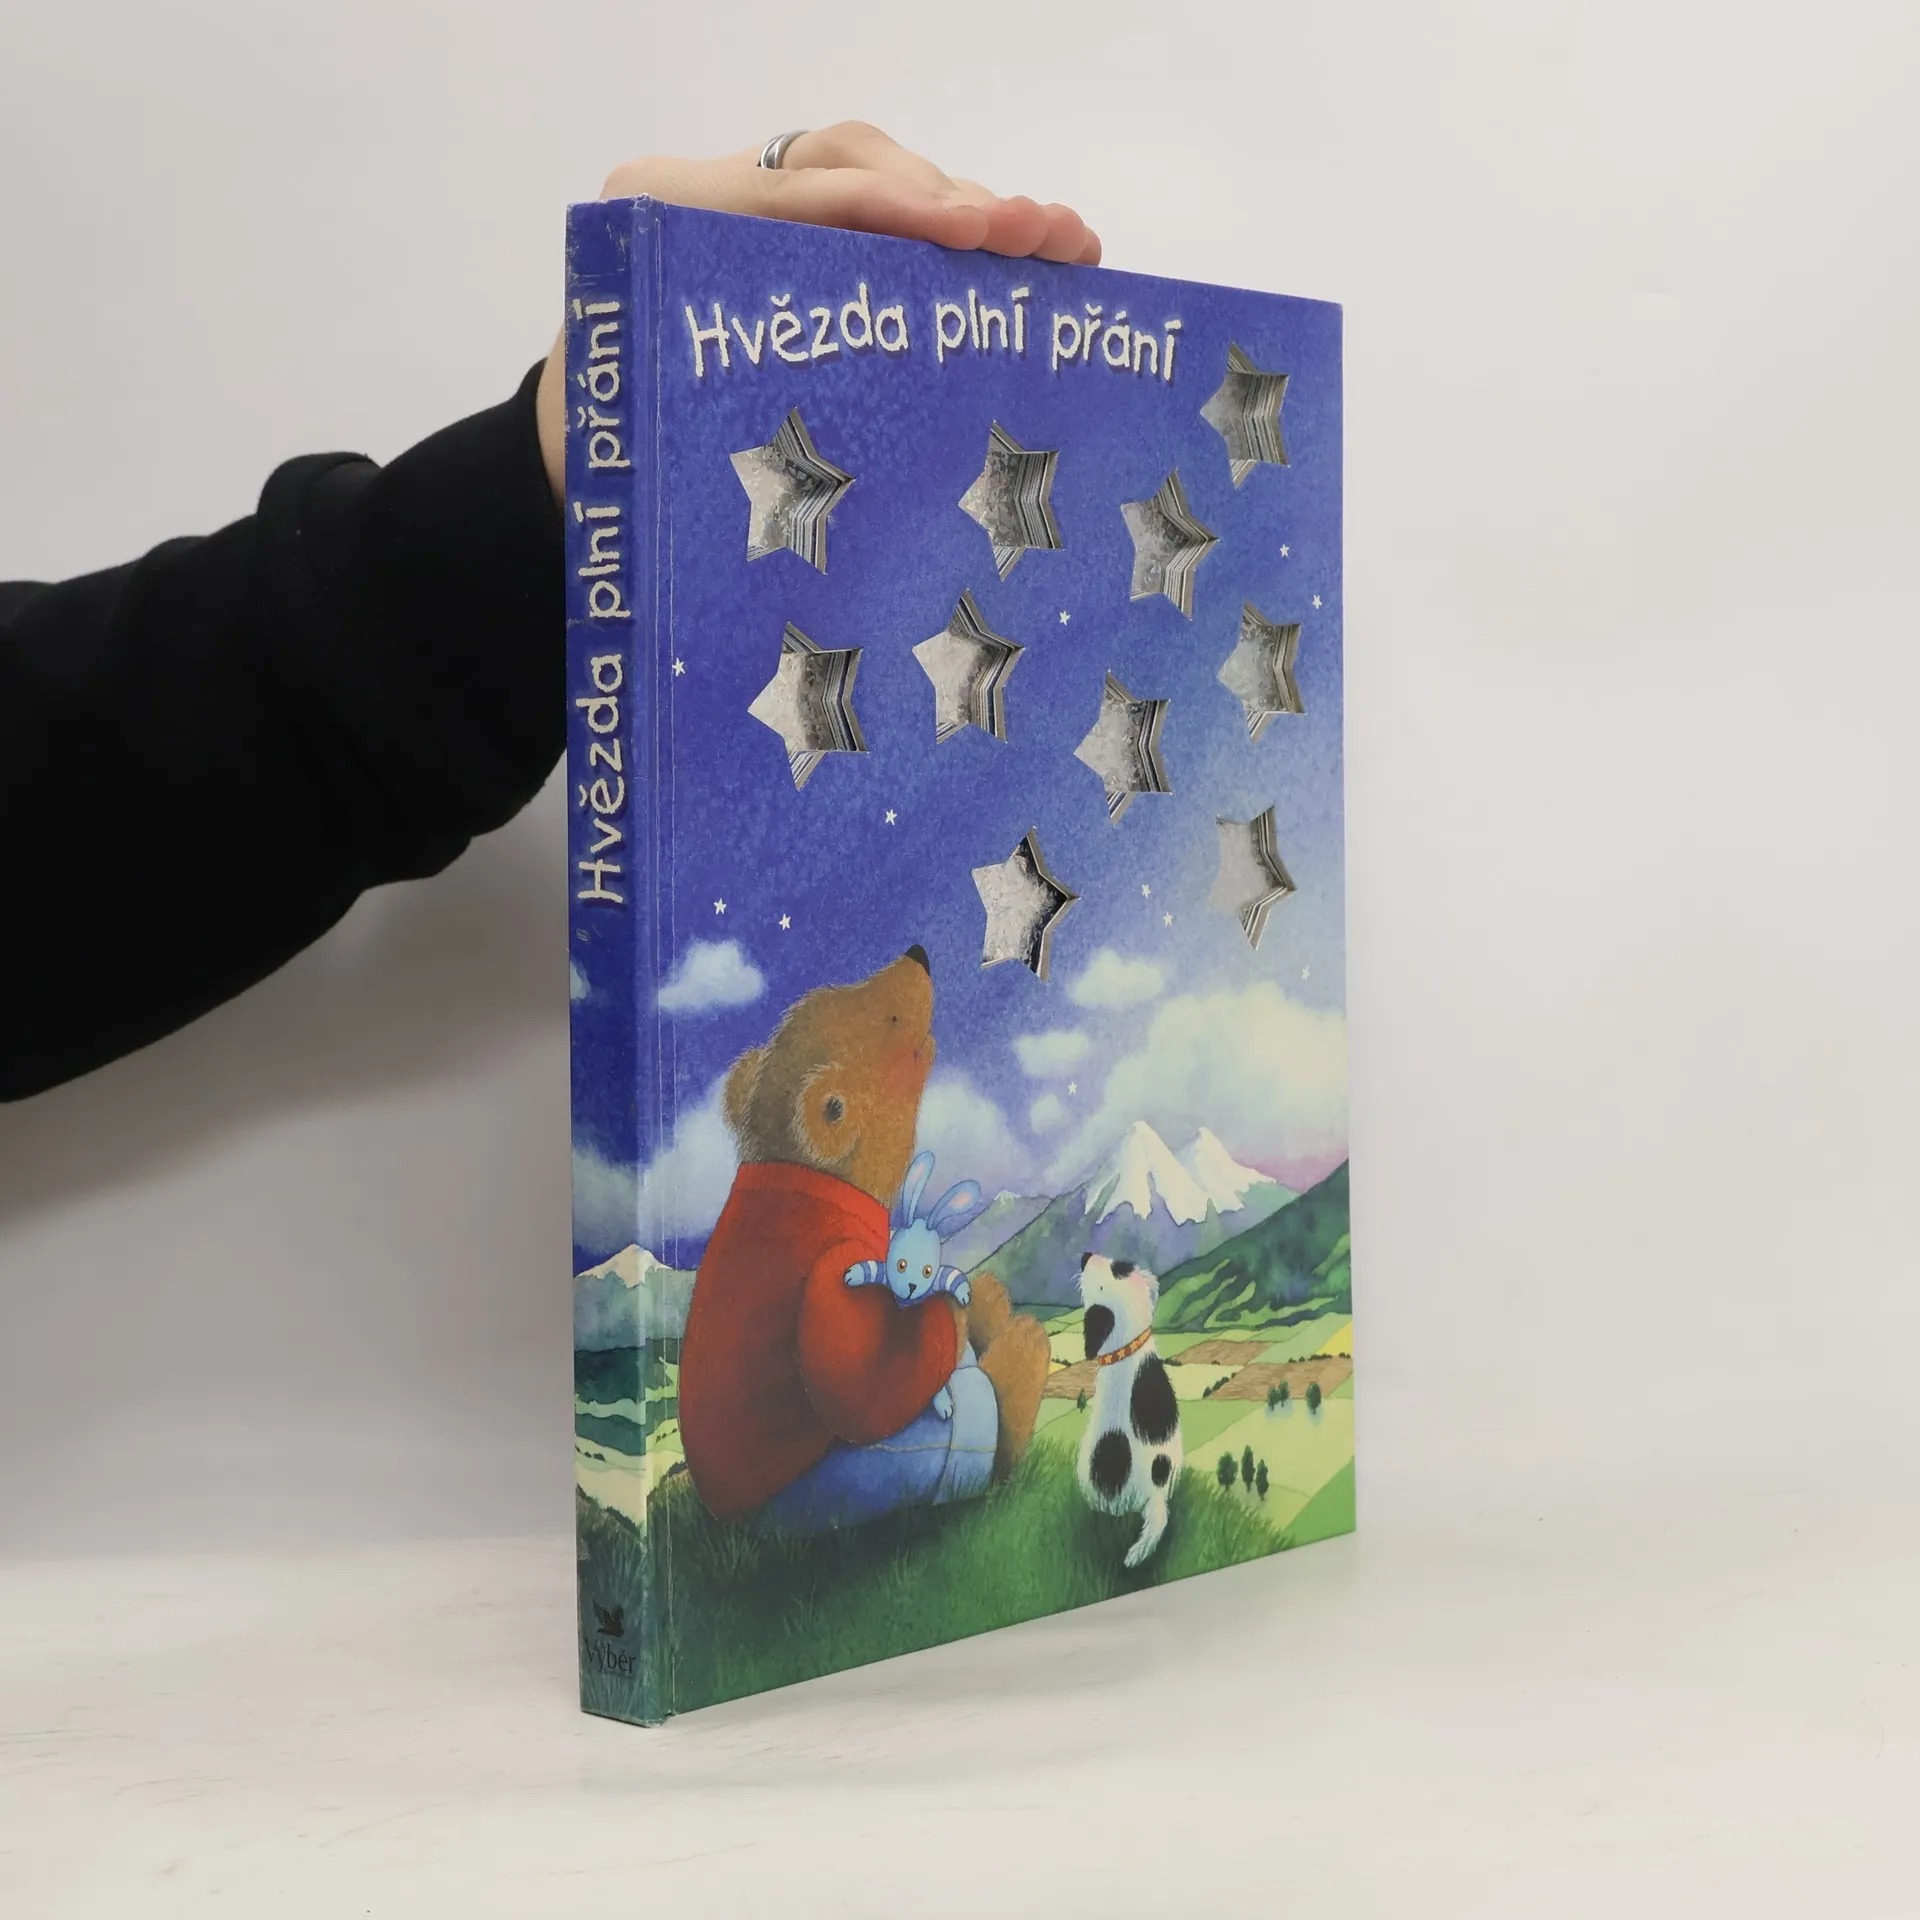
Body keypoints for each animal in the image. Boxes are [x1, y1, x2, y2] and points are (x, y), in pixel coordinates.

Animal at [678, 944, 1051, 1528]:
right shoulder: (832, 1266)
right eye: (891, 1020)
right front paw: (955, 1313)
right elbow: (860, 1391)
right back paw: (1020, 1353)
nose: (919, 953)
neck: (808, 1173)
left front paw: (974, 1300)